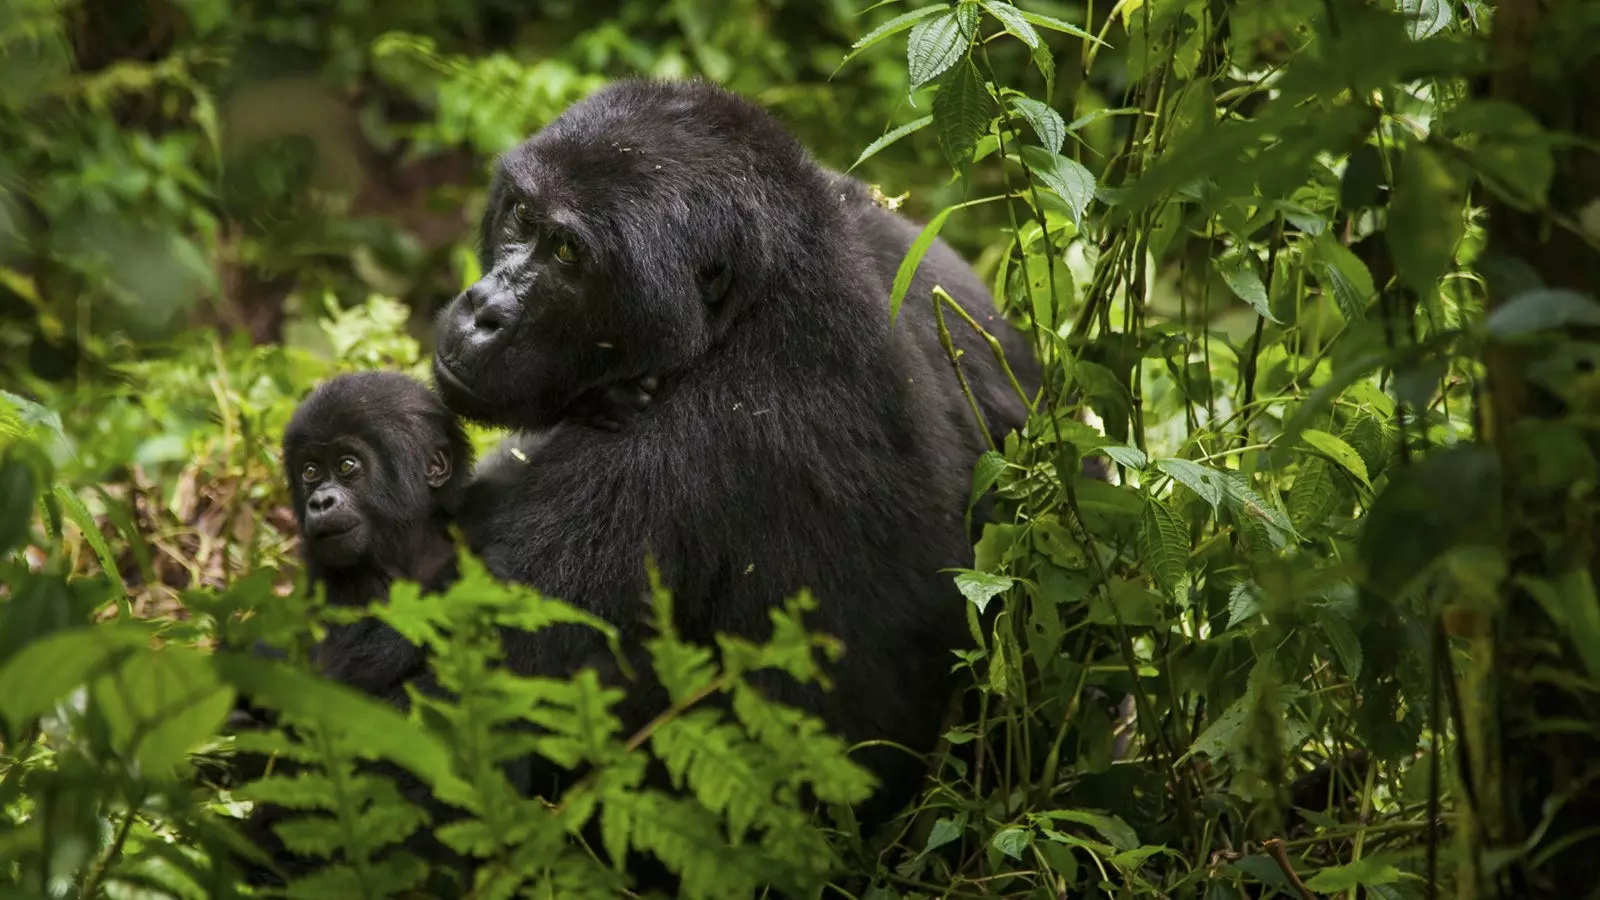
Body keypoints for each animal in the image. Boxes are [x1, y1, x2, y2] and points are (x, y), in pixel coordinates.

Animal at [432, 78, 1043, 819]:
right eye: (520, 215)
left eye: (569, 253)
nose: (482, 311)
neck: (757, 301)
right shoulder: (901, 243)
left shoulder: (673, 452)